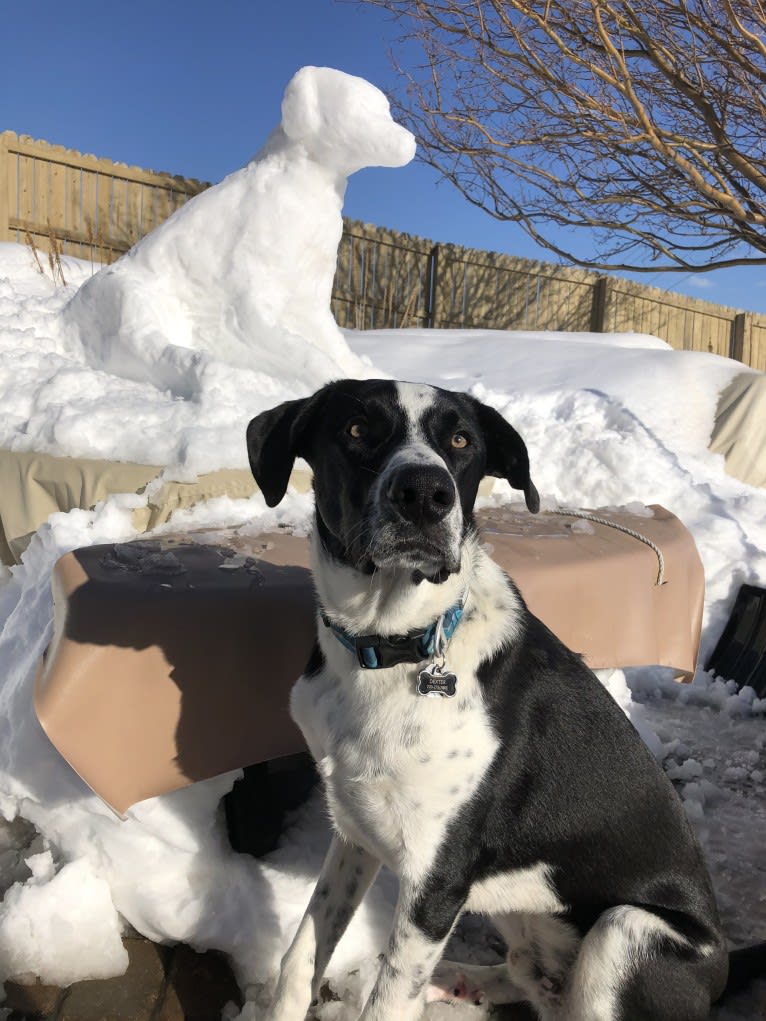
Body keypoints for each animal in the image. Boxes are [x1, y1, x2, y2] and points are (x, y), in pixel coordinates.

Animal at [249, 379, 763, 1016]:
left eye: (461, 441)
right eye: (356, 429)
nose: (425, 494)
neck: (393, 643)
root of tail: (719, 973)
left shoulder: (438, 881)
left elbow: (388, 1001)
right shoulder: (355, 830)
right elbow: (300, 957)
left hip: (624, 931)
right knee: (525, 975)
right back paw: (459, 980)